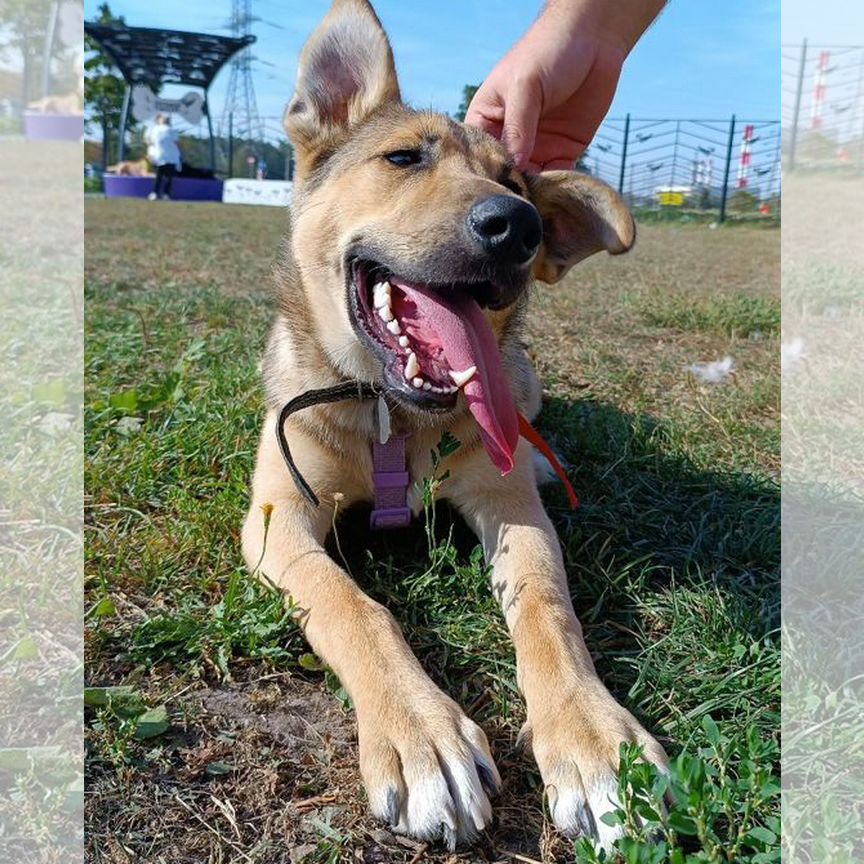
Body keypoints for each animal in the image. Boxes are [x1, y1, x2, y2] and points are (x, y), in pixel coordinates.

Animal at [243, 0, 668, 852]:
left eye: (512, 181)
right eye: (404, 158)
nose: (519, 224)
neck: (392, 417)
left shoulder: (506, 504)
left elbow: (547, 605)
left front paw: (597, 744)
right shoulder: (279, 518)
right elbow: (352, 606)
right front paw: (421, 738)